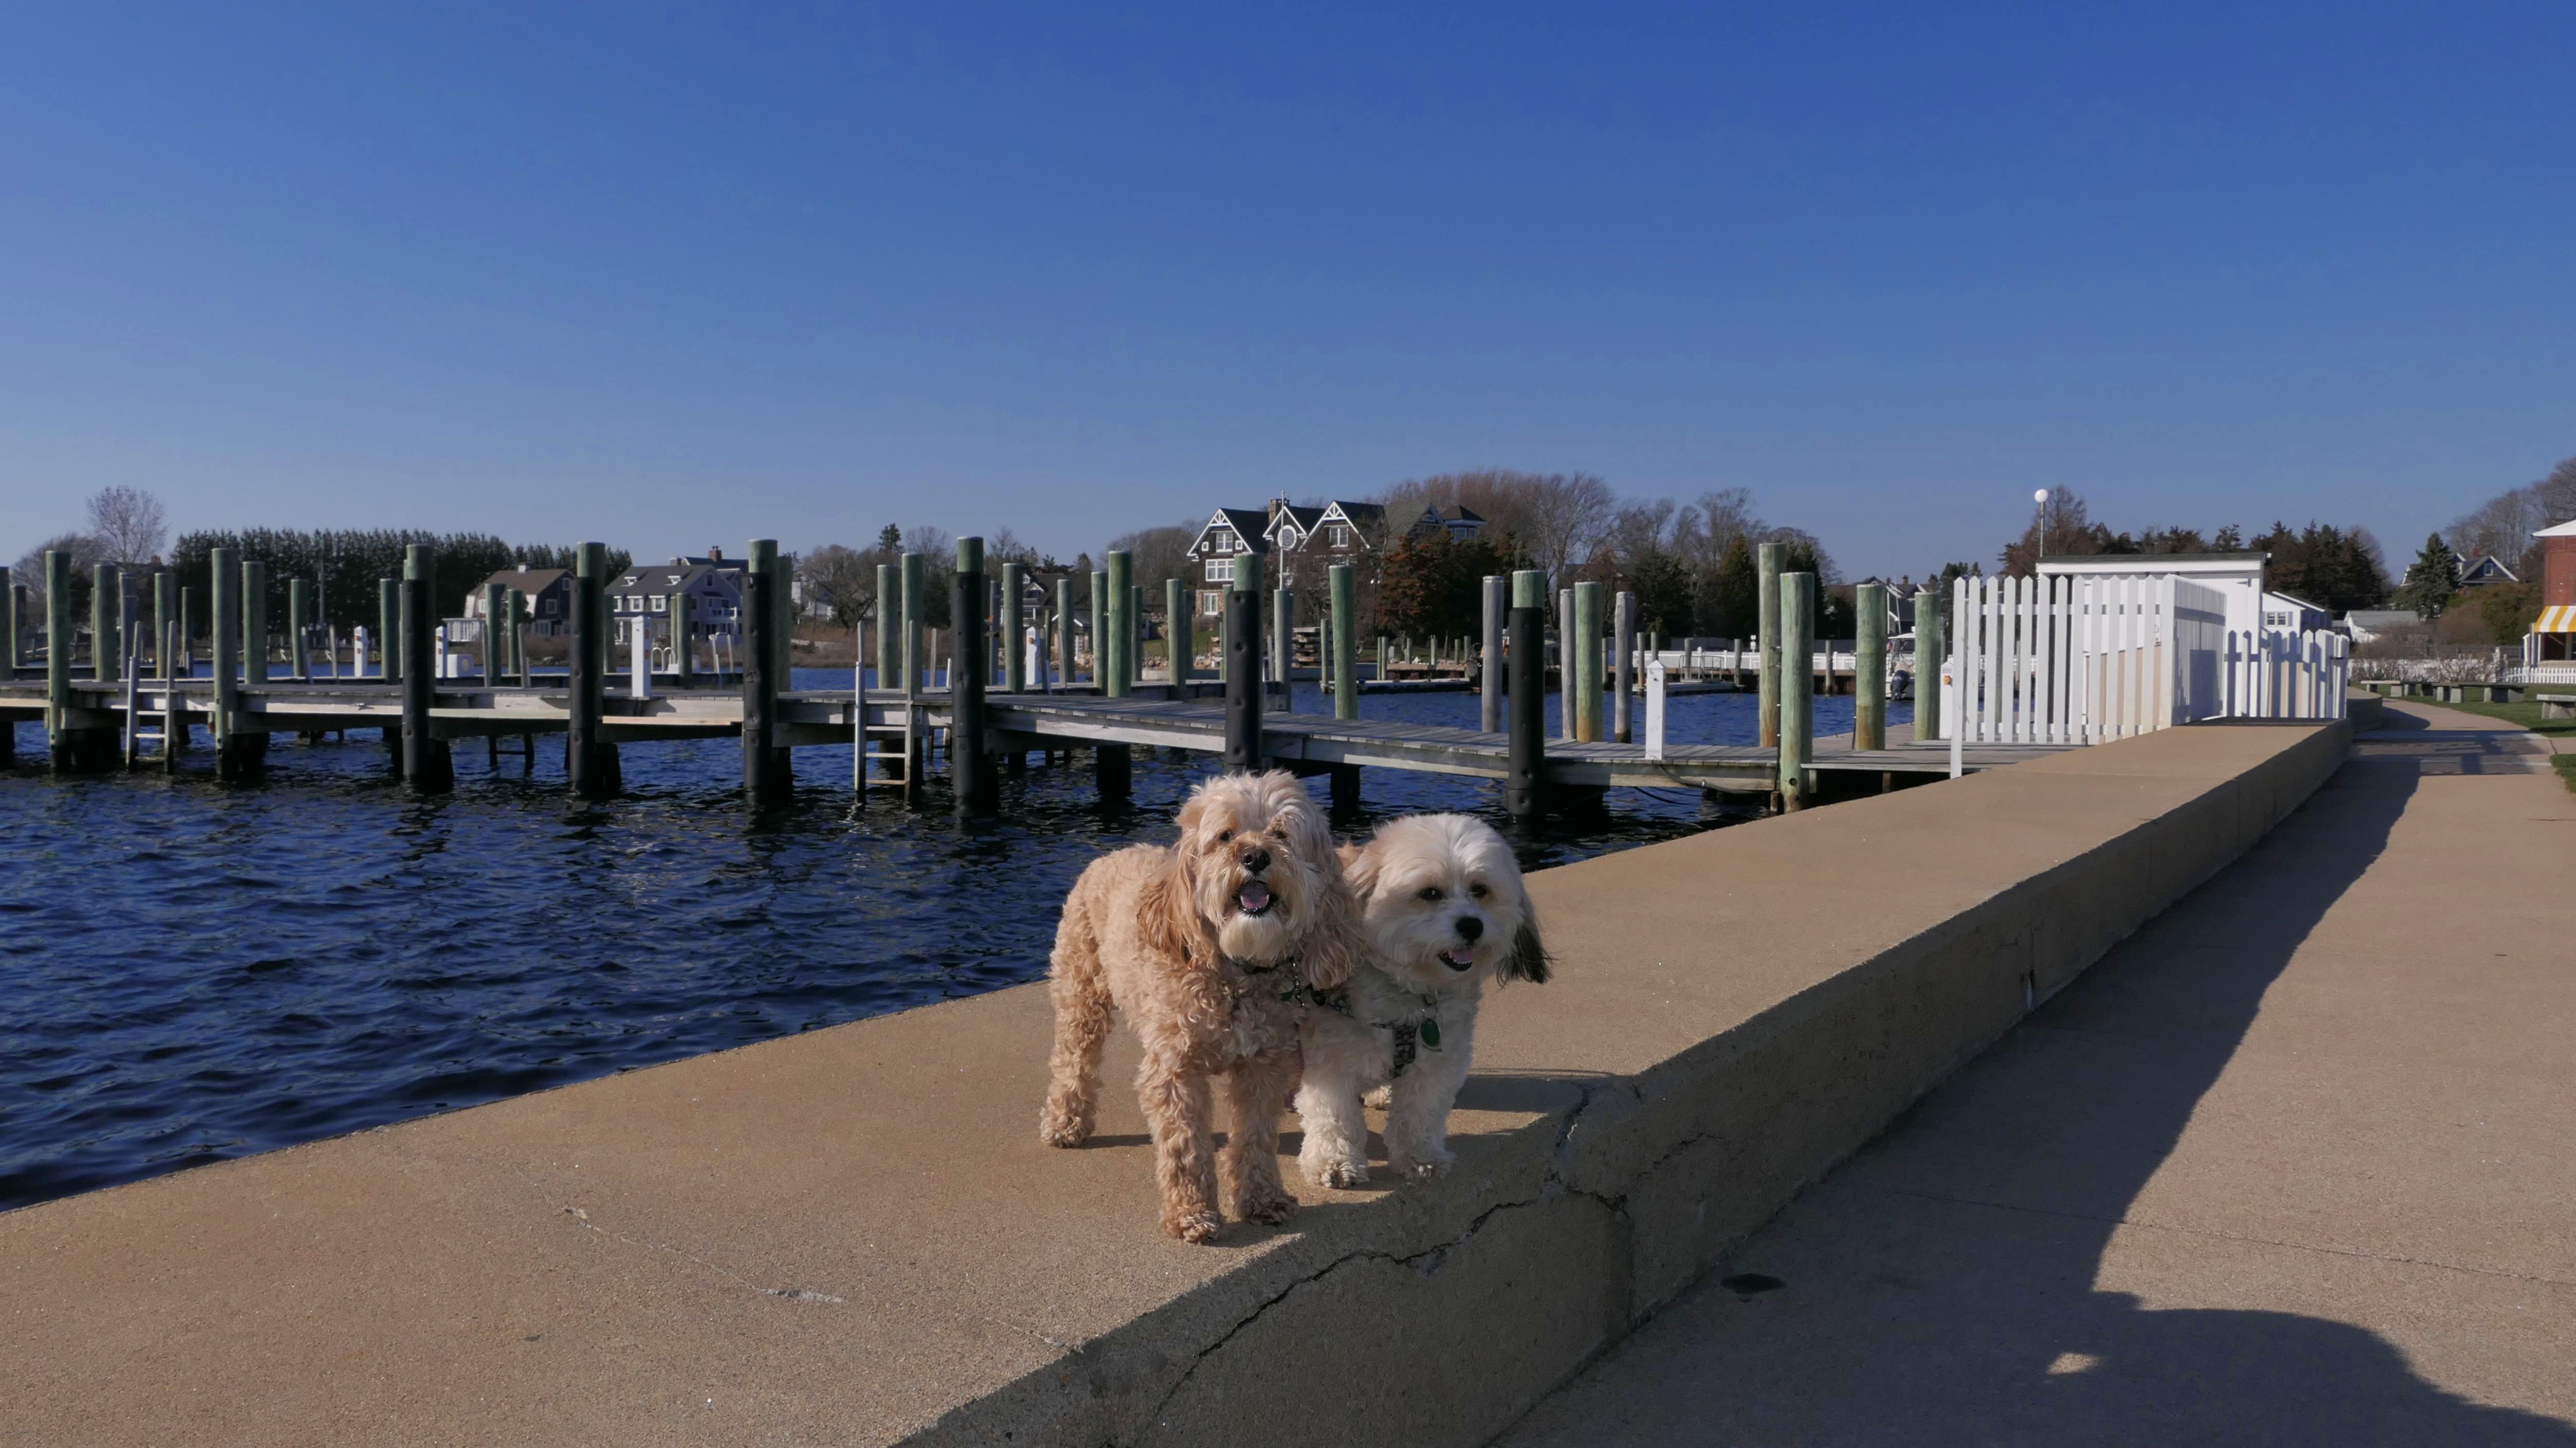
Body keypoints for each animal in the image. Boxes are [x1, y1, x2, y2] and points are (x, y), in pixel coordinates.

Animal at [1040, 770, 1361, 1243]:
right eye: (1224, 835)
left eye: (1281, 833)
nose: (1254, 855)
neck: (1237, 969)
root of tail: (1113, 852)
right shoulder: (1176, 1069)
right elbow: (1185, 1146)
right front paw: (1190, 1213)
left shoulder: (1263, 1065)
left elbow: (1254, 1138)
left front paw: (1262, 1199)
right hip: (1081, 993)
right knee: (1073, 1060)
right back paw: (1065, 1121)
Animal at [1295, 813, 1549, 1187]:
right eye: (1429, 893)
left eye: (1480, 890)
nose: (1471, 925)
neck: (1410, 996)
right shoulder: (1328, 1058)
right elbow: (1334, 1115)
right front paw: (1335, 1163)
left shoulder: (1440, 1056)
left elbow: (1420, 1110)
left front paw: (1419, 1157)